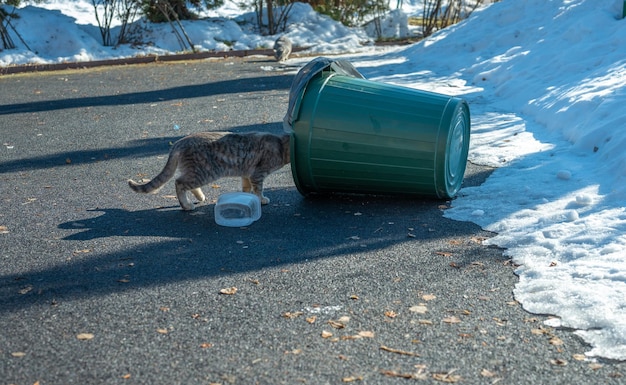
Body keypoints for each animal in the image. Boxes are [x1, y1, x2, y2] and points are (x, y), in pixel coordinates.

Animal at [131, 131, 290, 210]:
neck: (280, 145)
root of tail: (179, 143)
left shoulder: (246, 174)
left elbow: (246, 188)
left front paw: (247, 198)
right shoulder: (258, 174)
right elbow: (258, 189)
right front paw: (261, 199)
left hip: (197, 173)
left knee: (186, 184)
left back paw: (200, 197)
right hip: (204, 173)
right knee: (179, 183)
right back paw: (186, 205)